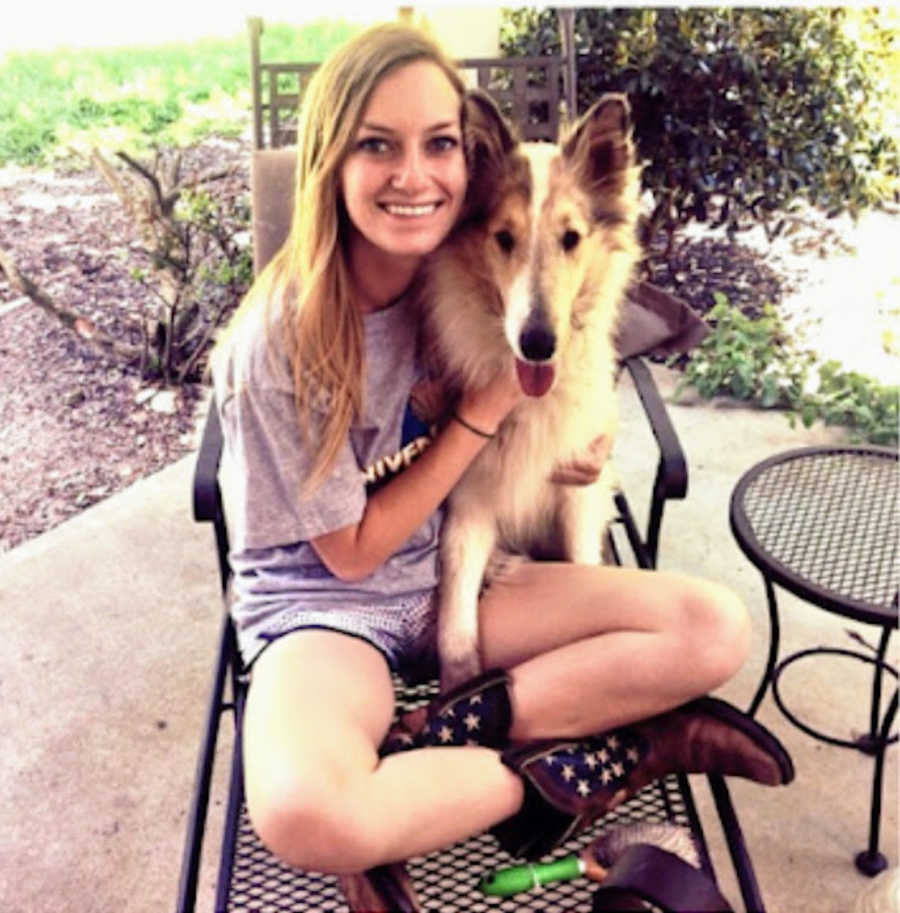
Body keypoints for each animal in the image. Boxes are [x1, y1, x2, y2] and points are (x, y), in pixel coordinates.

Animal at [420, 92, 640, 688]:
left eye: (571, 238)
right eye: (503, 238)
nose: (538, 344)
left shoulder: (578, 493)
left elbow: (586, 570)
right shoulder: (469, 504)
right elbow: (455, 630)